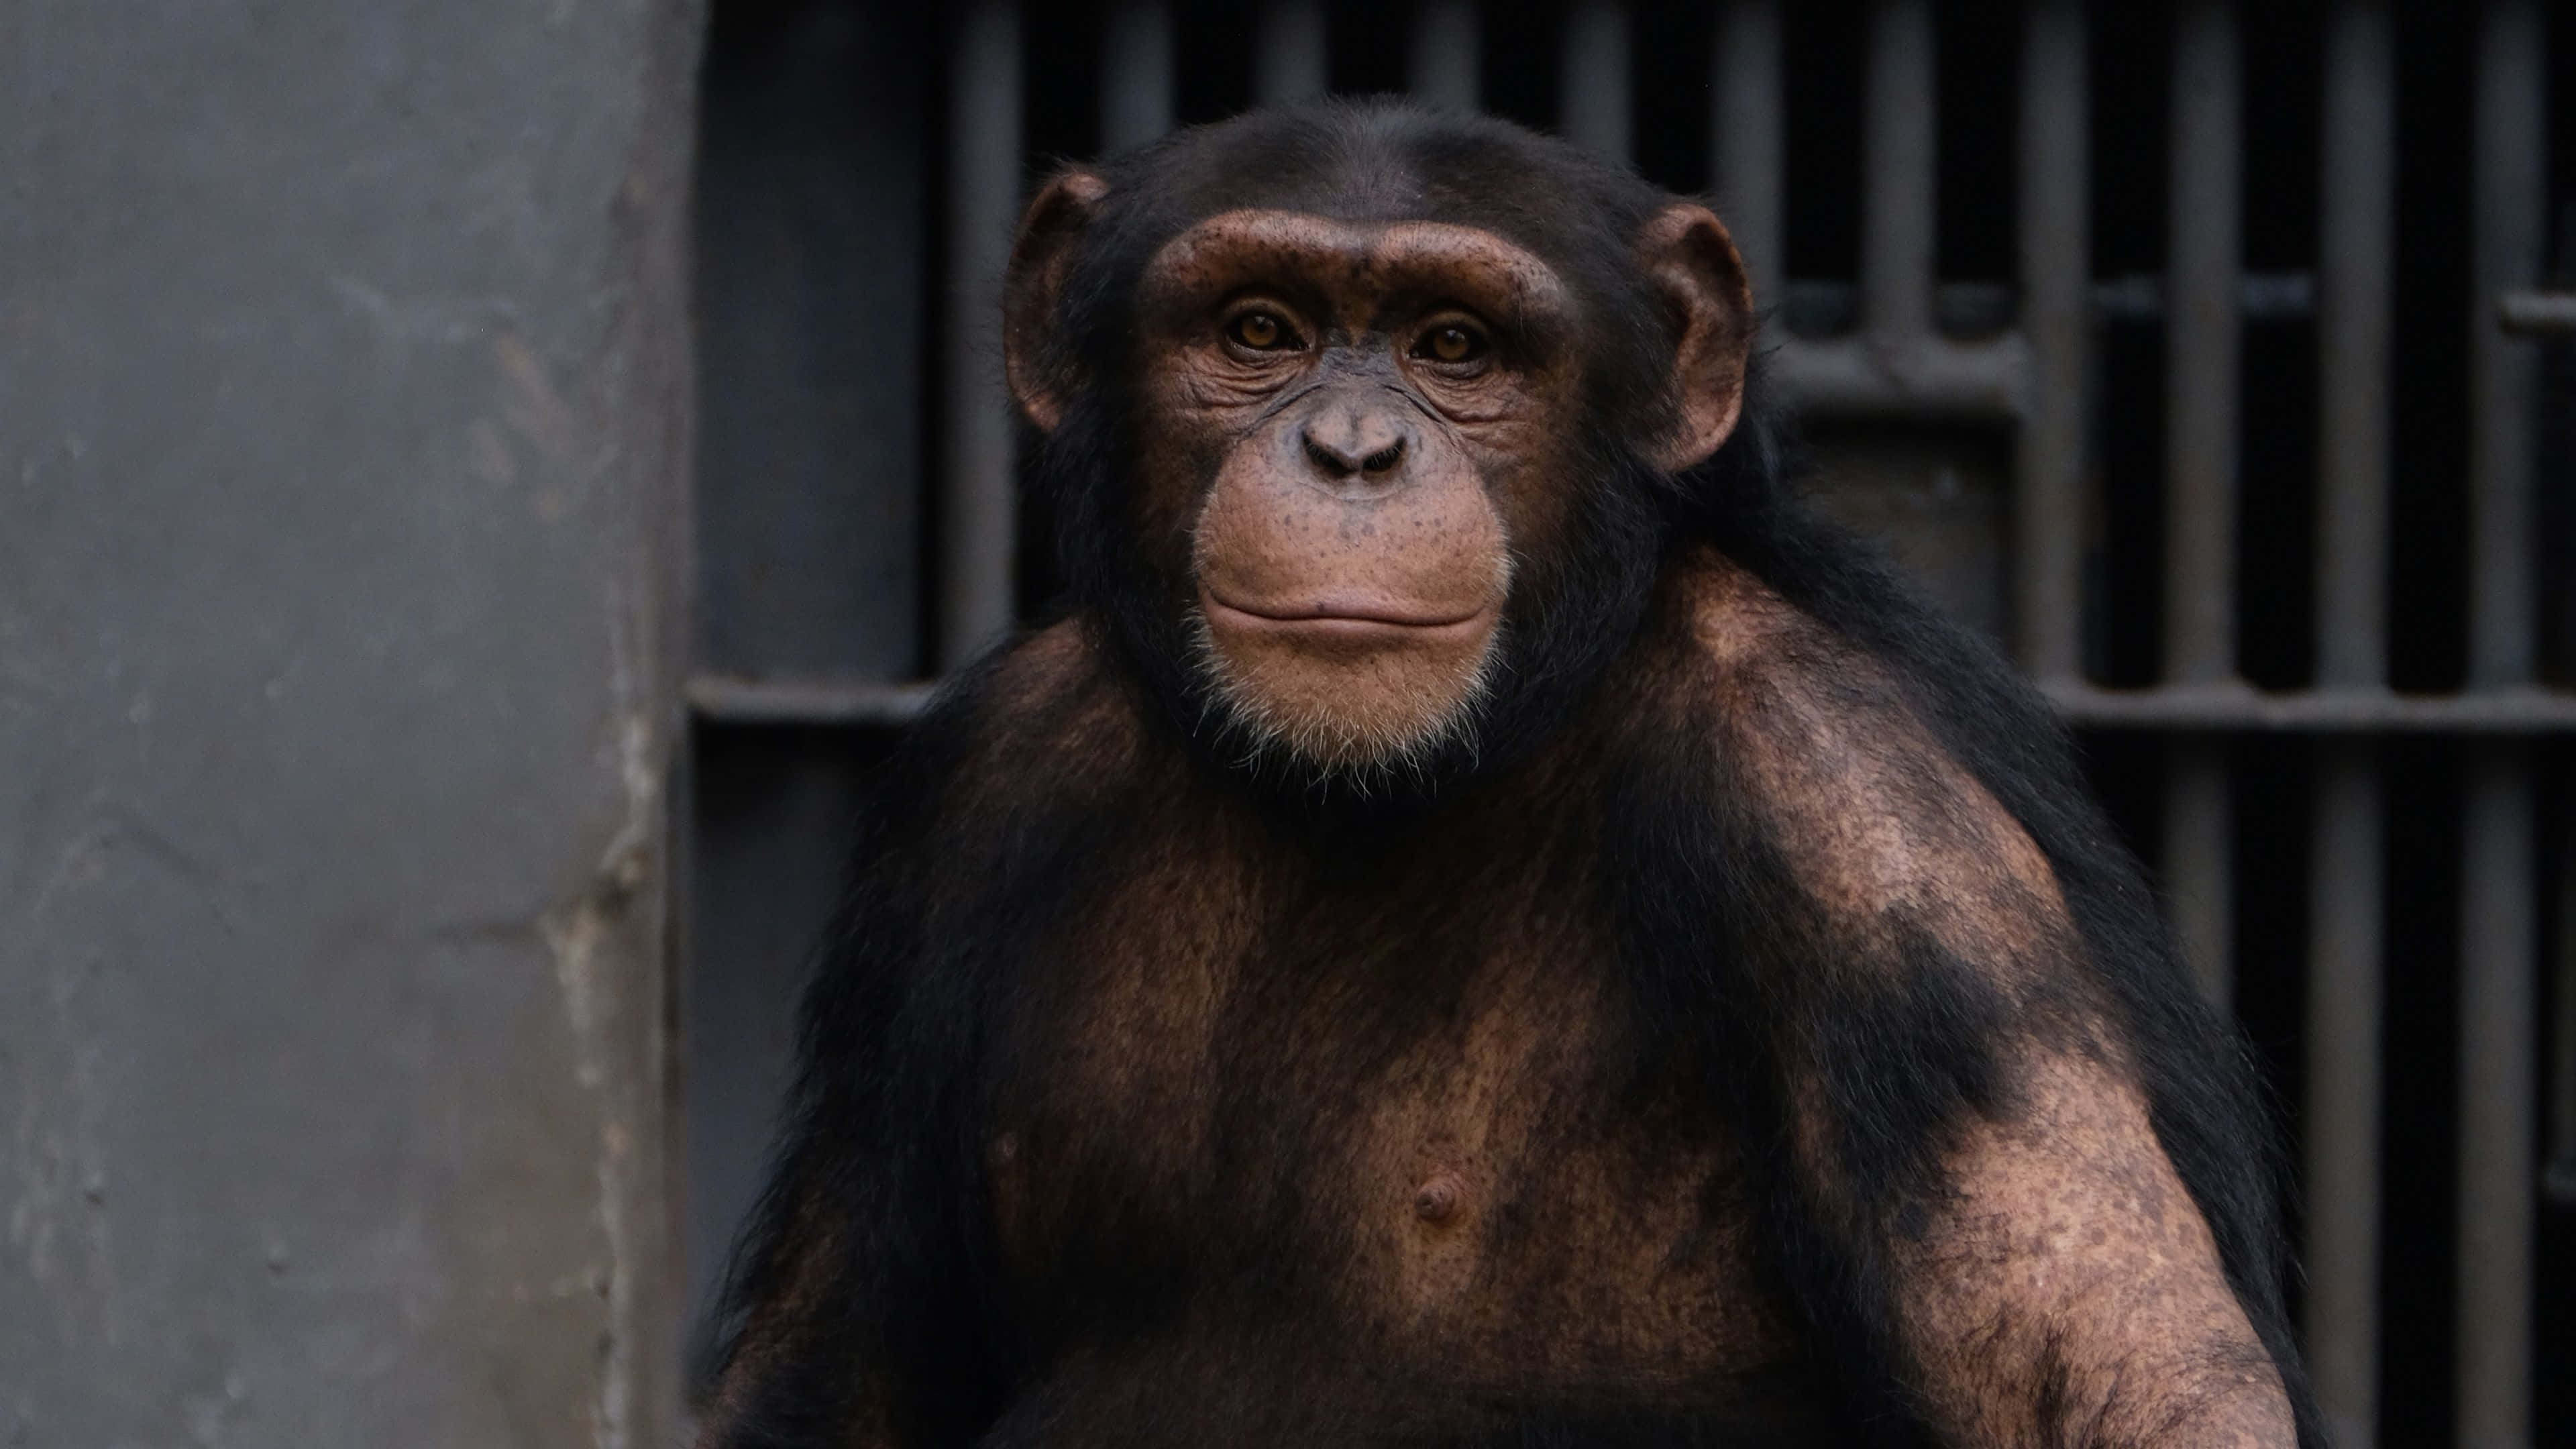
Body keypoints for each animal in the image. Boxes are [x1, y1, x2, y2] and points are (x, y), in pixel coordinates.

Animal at [696, 100, 2322, 1449]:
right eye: (1258, 328)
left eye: (1456, 348)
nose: (1354, 450)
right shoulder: (970, 785)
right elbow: (834, 1379)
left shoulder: (1871, 833)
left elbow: (2106, 1359)